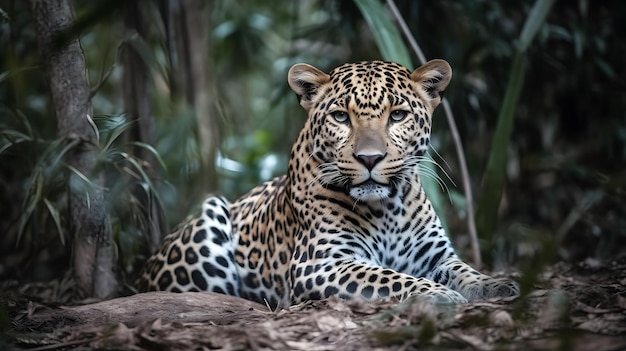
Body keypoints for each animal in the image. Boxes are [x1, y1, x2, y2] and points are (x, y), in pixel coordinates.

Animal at [135, 59, 516, 308]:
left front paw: (496, 284)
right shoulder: (321, 263)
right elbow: (387, 277)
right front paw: (437, 294)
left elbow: (465, 271)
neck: (387, 207)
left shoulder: (436, 255)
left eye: (397, 115)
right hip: (209, 218)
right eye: (340, 117)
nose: (369, 158)